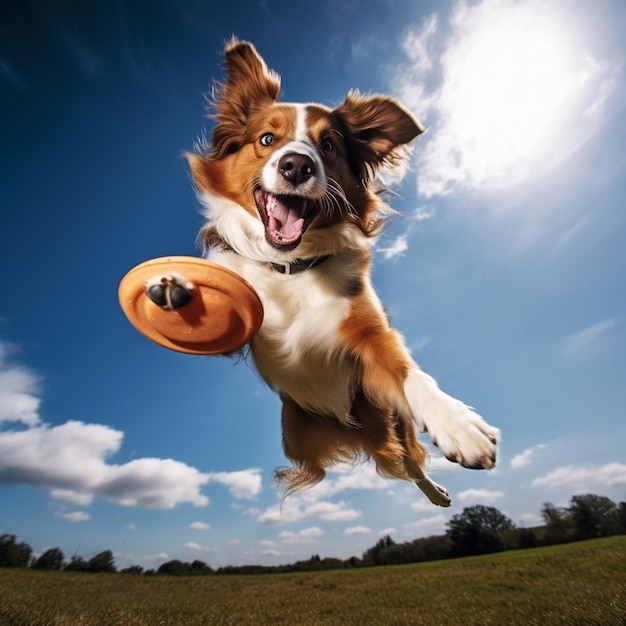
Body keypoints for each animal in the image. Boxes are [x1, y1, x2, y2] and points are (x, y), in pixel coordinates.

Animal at [152, 39, 498, 504]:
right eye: (267, 139)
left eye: (329, 145)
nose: (296, 165)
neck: (291, 269)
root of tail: (351, 431)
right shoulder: (241, 329)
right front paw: (174, 287)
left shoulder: (371, 336)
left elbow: (410, 372)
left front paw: (458, 422)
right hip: (299, 435)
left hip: (392, 424)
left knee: (409, 463)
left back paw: (437, 493)